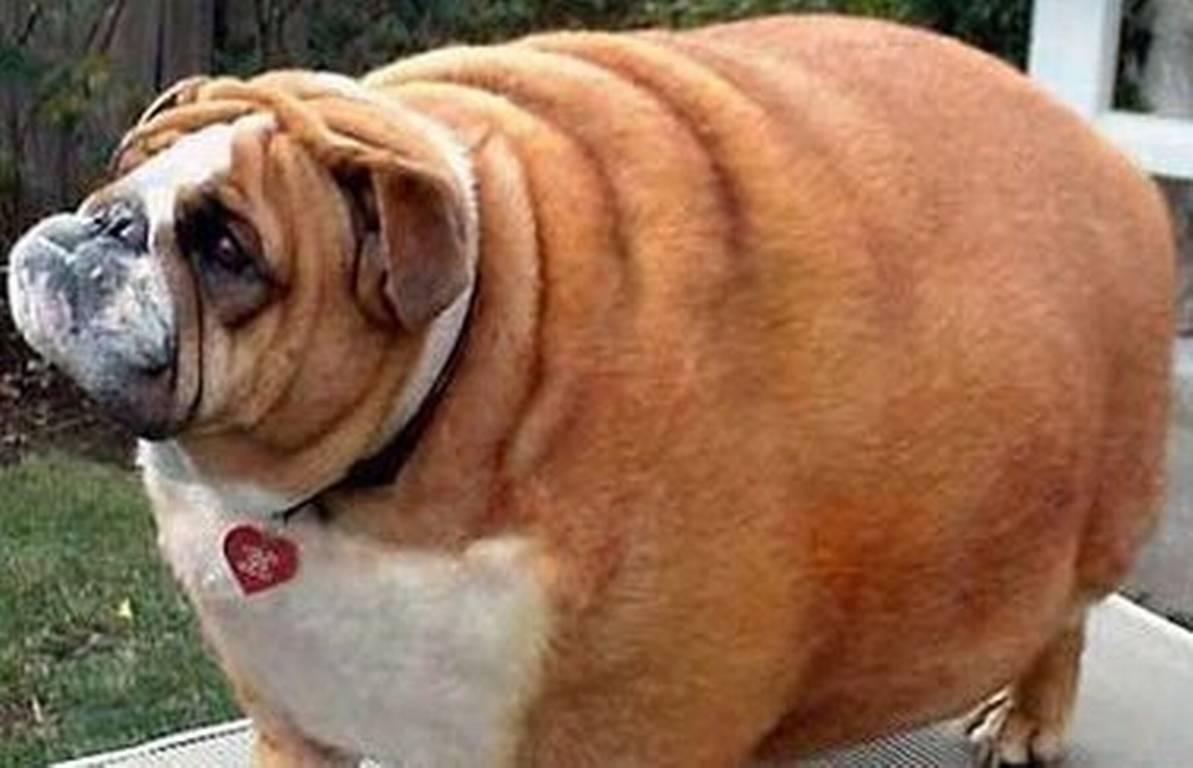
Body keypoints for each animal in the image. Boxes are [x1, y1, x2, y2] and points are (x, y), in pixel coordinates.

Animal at [6, 14, 1174, 768]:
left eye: (228, 249)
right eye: (127, 165)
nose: (110, 221)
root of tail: (1095, 147)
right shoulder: (296, 722)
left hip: (1089, 518)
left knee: (1065, 618)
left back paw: (1025, 721)